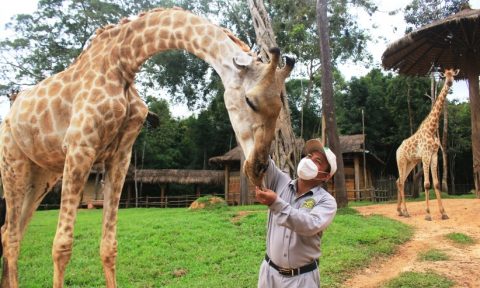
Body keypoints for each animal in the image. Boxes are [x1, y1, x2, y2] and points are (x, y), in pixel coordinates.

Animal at [0, 7, 294, 288]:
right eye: (250, 101)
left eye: (281, 107)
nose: (258, 168)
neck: (122, 62)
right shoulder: (80, 146)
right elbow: (62, 246)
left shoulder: (120, 156)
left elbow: (109, 246)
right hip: (13, 164)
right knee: (12, 236)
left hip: (42, 174)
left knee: (11, 231)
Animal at [396, 67, 460, 220]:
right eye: (445, 76)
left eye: (453, 75)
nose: (449, 82)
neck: (431, 129)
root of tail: (397, 149)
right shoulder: (425, 155)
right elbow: (426, 184)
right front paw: (428, 214)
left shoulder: (434, 155)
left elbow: (436, 184)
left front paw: (443, 213)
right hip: (401, 161)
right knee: (401, 182)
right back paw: (405, 212)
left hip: (410, 163)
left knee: (399, 181)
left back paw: (400, 210)